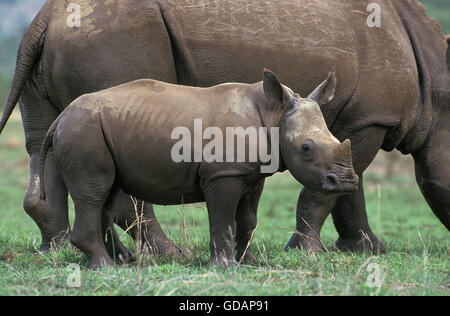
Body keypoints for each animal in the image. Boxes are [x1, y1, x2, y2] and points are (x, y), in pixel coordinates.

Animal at [39, 70, 358, 268]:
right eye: (306, 148)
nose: (346, 182)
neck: (274, 115)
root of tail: (60, 118)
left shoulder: (252, 174)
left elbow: (248, 219)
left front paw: (250, 263)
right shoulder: (222, 173)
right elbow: (223, 217)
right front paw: (225, 267)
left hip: (96, 128)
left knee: (106, 193)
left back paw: (123, 260)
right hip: (84, 130)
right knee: (94, 192)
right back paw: (106, 267)